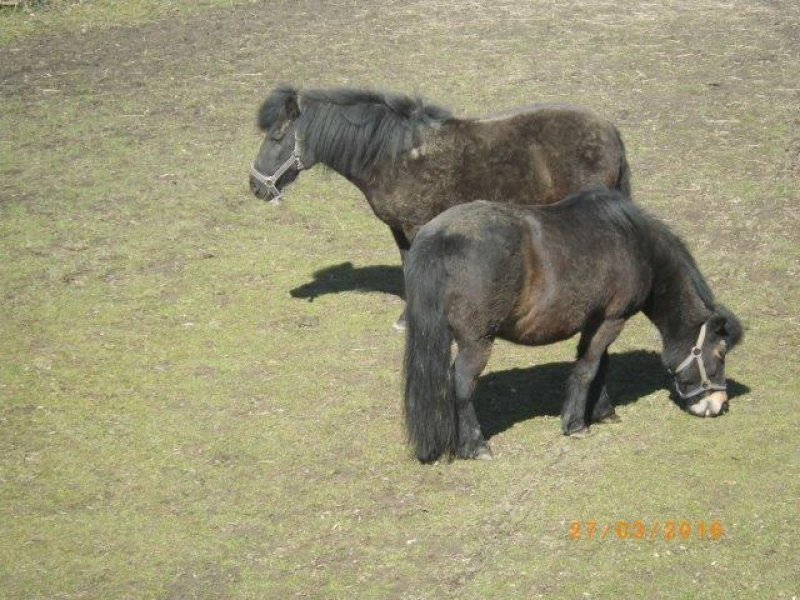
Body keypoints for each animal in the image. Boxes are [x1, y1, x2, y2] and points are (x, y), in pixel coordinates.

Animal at [250, 86, 632, 326]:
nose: (255, 186)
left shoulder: (418, 226)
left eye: (276, 137)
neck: (395, 155)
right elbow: (407, 267)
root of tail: (612, 133)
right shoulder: (400, 231)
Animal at [406, 188, 744, 464]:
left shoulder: (597, 320)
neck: (633, 241)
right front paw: (576, 424)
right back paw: (476, 446)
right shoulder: (611, 320)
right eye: (720, 354)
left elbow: (599, 365)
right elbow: (588, 369)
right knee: (462, 383)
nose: (719, 404)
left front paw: (603, 411)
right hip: (477, 341)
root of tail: (438, 236)